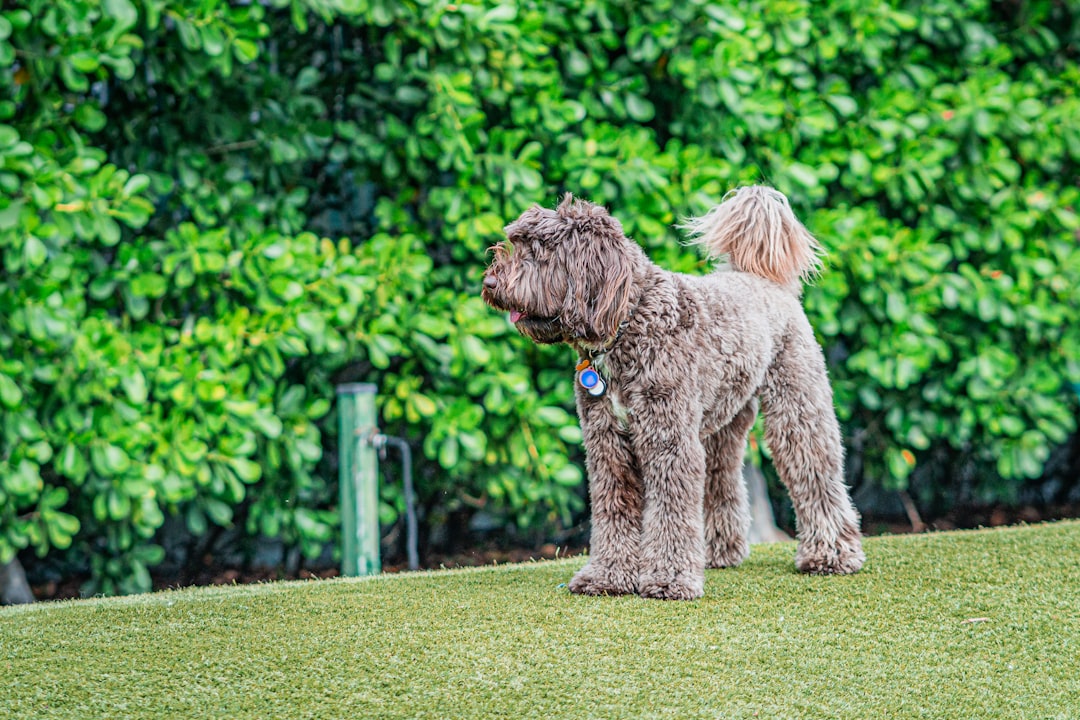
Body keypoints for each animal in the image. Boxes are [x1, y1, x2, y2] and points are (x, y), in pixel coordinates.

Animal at [486, 188, 864, 600]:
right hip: (720, 425)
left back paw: (831, 555)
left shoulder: (668, 439)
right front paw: (607, 575)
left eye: (538, 251)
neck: (629, 322)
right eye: (516, 242)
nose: (489, 282)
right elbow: (614, 509)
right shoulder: (608, 446)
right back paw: (718, 553)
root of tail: (761, 279)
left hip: (796, 408)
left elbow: (670, 509)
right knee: (722, 479)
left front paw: (669, 578)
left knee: (815, 471)